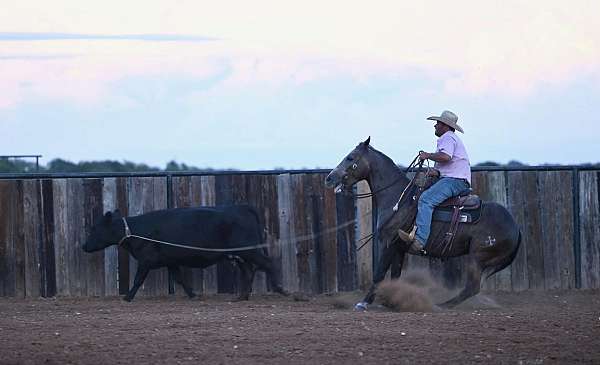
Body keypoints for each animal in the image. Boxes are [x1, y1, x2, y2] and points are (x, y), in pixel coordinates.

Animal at [324, 136, 520, 310]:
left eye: (350, 157)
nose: (329, 178)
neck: (398, 197)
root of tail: (516, 228)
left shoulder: (388, 243)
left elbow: (379, 274)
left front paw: (364, 303)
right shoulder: (399, 248)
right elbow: (395, 275)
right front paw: (392, 300)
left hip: (477, 257)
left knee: (472, 287)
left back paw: (441, 305)